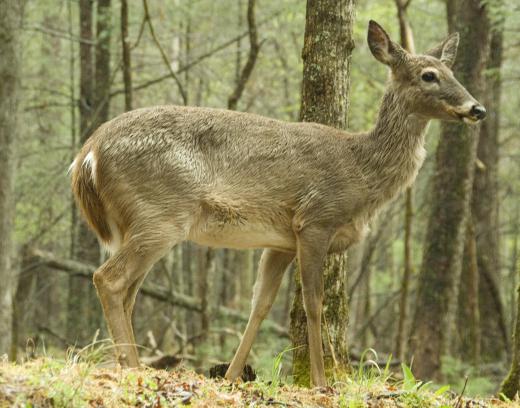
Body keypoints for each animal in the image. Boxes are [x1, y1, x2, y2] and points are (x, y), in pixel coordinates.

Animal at [70, 20, 488, 388]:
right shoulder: (315, 219)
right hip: (161, 214)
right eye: (429, 75)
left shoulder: (280, 241)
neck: (361, 171)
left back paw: (133, 362)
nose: (477, 108)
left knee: (128, 292)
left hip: (141, 221)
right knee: (108, 279)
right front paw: (320, 381)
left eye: (450, 71)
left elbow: (260, 305)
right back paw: (132, 368)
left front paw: (233, 376)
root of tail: (87, 154)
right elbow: (314, 305)